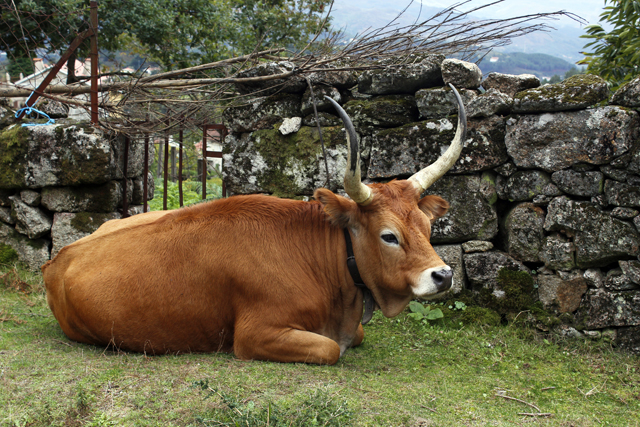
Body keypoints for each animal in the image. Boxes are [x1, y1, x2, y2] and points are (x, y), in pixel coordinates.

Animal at [42, 85, 468, 366]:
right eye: (388, 236)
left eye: (427, 229)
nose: (443, 275)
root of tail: (57, 259)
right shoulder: (255, 335)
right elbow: (331, 349)